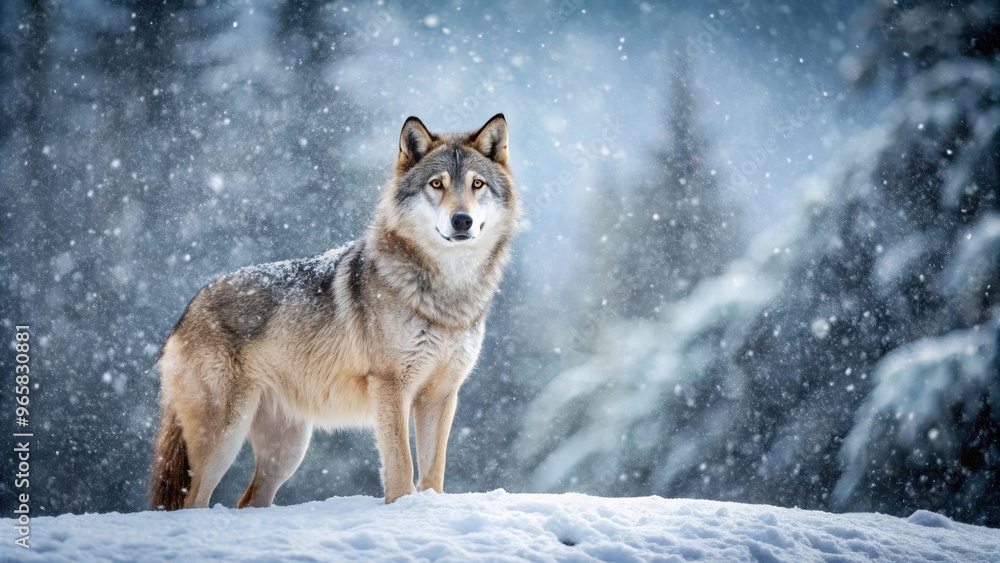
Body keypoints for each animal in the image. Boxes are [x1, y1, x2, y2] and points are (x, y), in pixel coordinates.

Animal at [150, 114, 520, 510]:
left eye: (477, 184)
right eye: (437, 184)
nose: (462, 220)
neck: (447, 296)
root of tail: (187, 309)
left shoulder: (441, 395)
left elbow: (434, 469)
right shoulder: (390, 387)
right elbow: (401, 464)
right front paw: (402, 506)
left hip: (287, 450)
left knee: (247, 501)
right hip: (223, 438)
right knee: (191, 503)